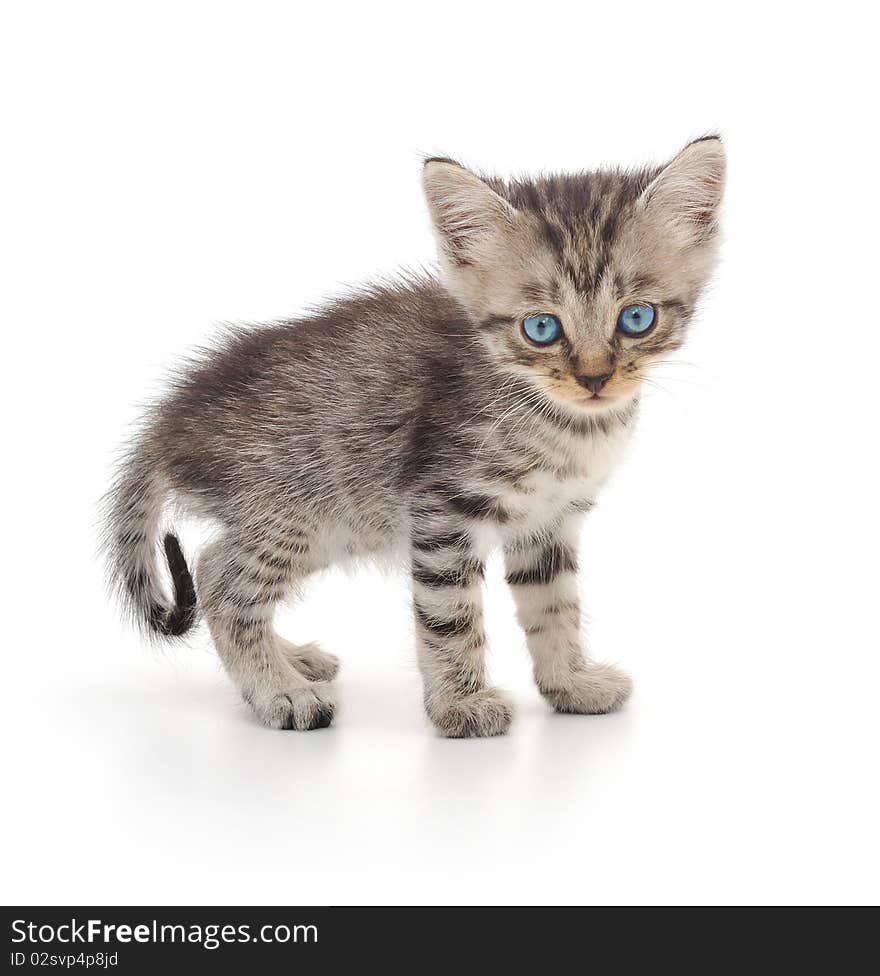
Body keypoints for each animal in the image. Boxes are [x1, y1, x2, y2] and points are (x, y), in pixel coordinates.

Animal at [101, 135, 728, 732]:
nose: (595, 378)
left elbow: (554, 607)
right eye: (542, 328)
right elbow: (450, 617)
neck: (562, 421)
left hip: (329, 524)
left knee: (213, 569)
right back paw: (281, 691)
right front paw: (460, 706)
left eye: (637, 318)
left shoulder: (547, 520)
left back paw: (291, 660)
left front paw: (569, 685)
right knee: (224, 584)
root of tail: (170, 419)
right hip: (299, 507)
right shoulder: (443, 508)